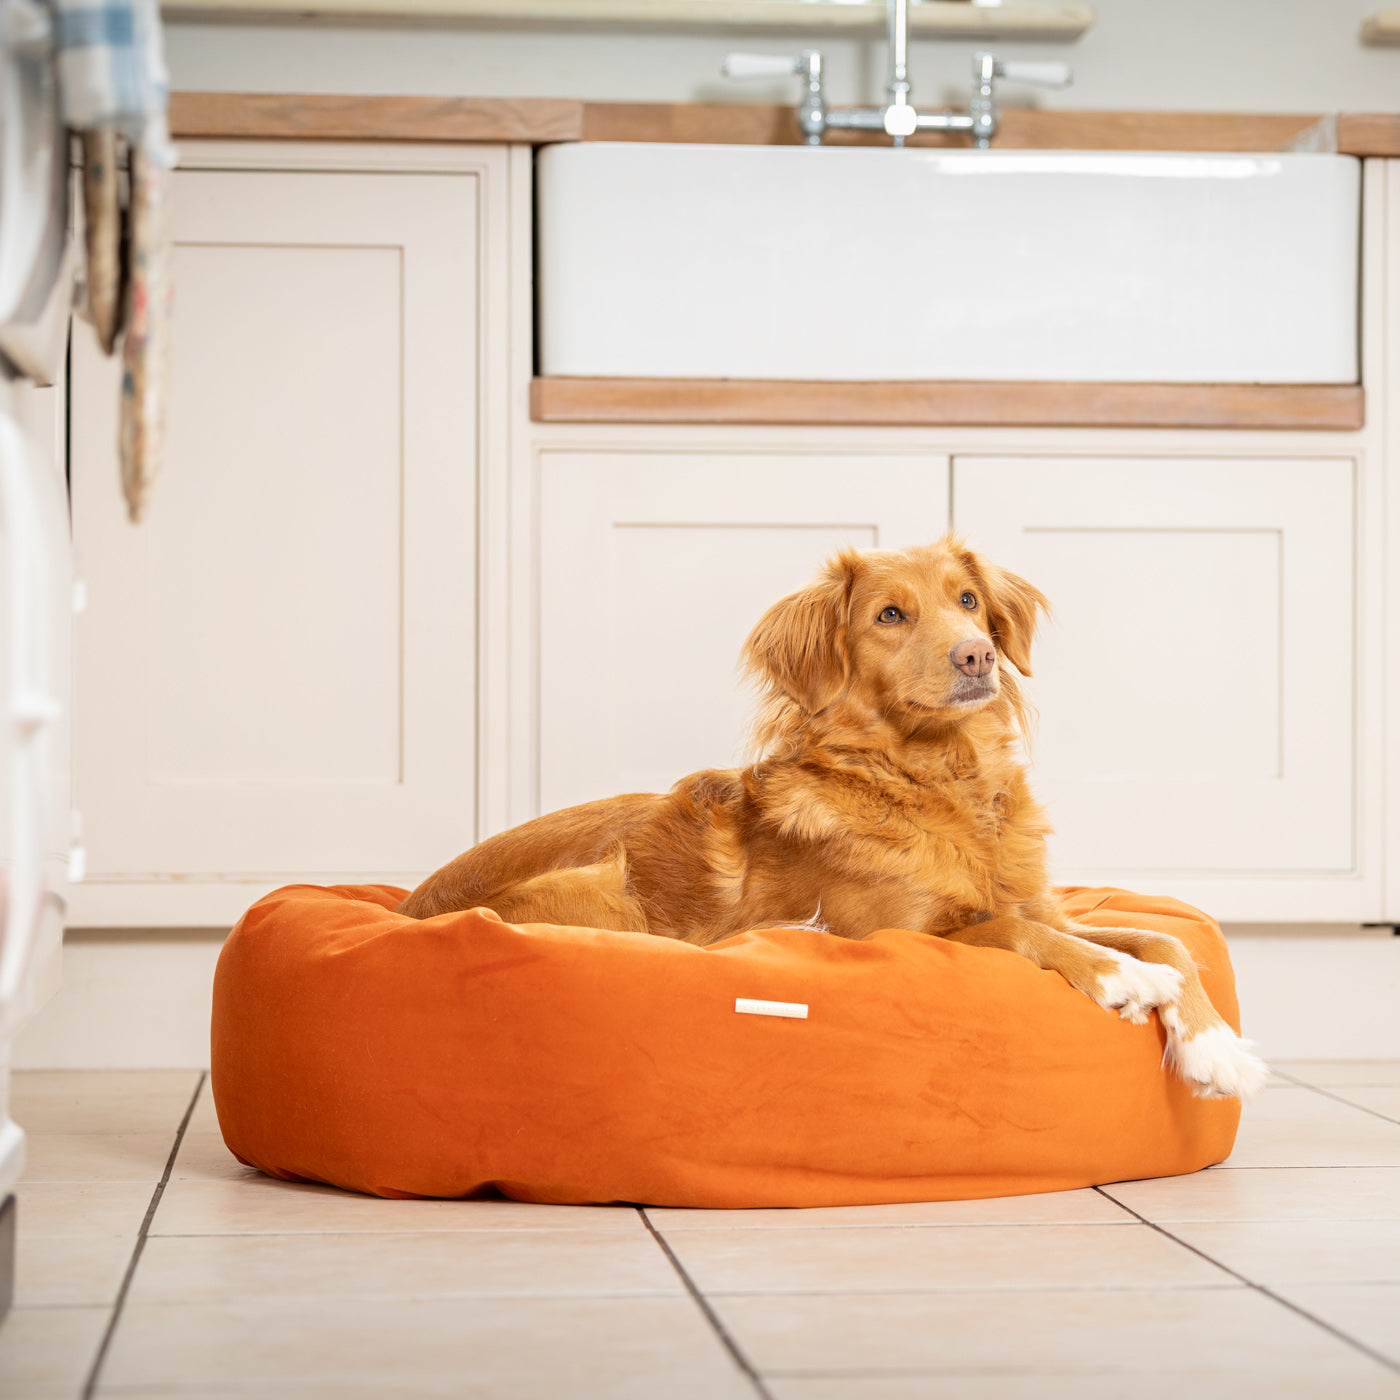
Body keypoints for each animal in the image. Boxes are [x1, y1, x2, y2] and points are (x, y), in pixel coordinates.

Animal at [400, 534, 1265, 1092]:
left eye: (969, 601)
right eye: (890, 615)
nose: (978, 654)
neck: (939, 780)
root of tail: (410, 907)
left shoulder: (1039, 902)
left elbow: (1161, 936)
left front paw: (1215, 1046)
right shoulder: (897, 932)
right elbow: (1016, 935)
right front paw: (1121, 977)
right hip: (602, 890)